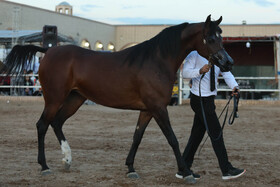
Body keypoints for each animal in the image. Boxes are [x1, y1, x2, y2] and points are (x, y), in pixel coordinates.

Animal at [1, 15, 234, 184]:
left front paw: (130, 168)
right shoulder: (159, 108)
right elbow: (173, 139)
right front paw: (186, 172)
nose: (228, 62)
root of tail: (48, 51)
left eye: (222, 36)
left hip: (75, 99)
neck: (157, 60)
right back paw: (45, 167)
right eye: (211, 38)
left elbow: (137, 137)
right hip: (54, 99)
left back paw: (67, 160)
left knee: (56, 123)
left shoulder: (148, 109)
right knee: (42, 124)